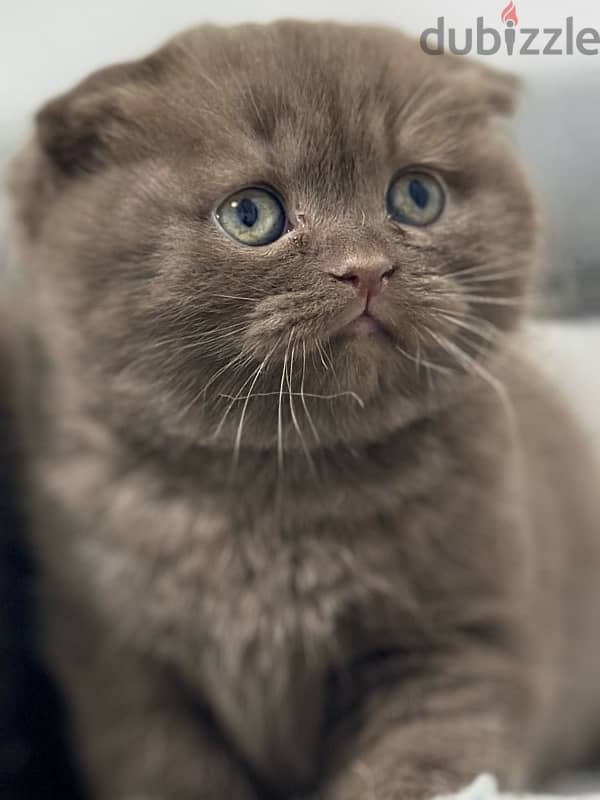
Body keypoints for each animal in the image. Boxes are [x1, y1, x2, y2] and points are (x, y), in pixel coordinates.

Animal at [4, 17, 600, 800]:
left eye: (417, 196)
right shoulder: (120, 664)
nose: (368, 269)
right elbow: (171, 769)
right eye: (251, 214)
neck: (278, 485)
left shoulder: (458, 642)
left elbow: (422, 762)